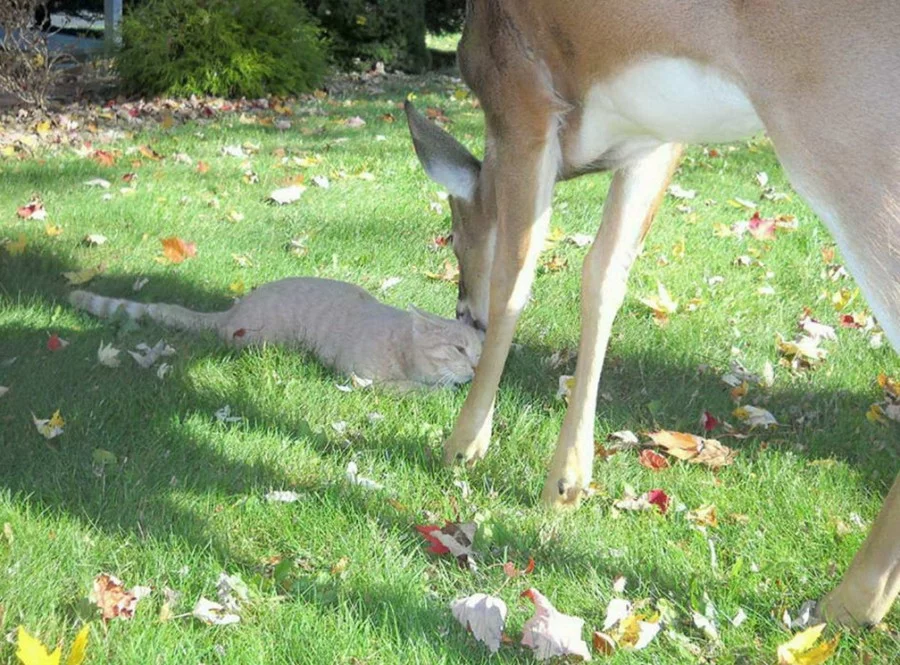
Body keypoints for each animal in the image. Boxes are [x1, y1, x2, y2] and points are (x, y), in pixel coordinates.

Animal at [68, 276, 486, 390]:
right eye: (458, 349)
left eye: (480, 353)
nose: (479, 369)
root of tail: (233, 310)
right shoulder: (362, 378)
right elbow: (413, 389)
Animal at [404, 0, 896, 628]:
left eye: (453, 232)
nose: (463, 310)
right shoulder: (658, 138)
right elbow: (604, 275)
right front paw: (566, 483)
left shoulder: (524, 94)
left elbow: (517, 278)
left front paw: (465, 444)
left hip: (848, 139)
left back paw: (848, 600)